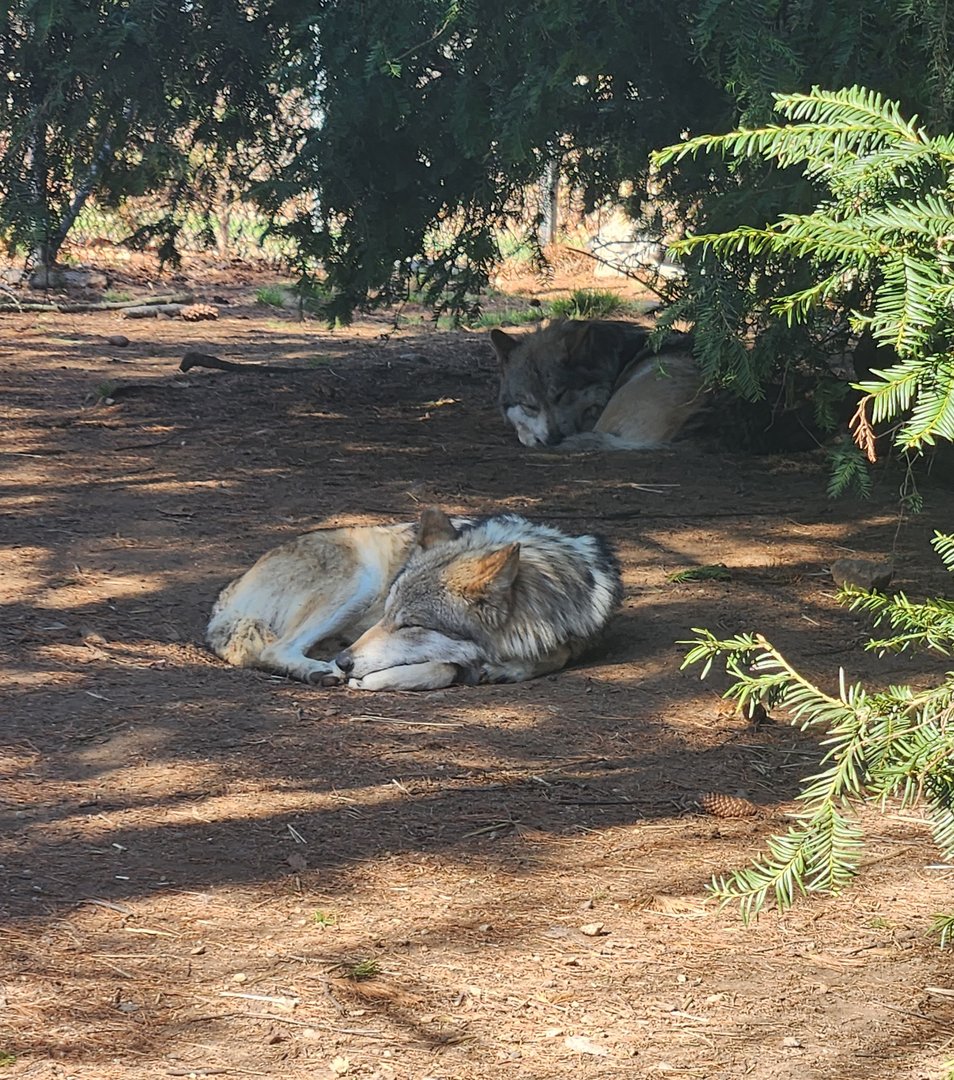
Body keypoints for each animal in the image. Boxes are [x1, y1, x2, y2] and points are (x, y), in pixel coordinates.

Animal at [207, 508, 622, 692]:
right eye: (388, 615)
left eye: (410, 624)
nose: (345, 662)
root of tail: (227, 595)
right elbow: (446, 667)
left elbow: (558, 654)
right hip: (358, 582)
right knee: (275, 649)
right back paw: (318, 670)